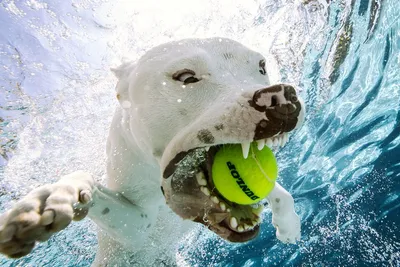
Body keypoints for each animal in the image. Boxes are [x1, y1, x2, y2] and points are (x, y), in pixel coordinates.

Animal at [0, 37, 304, 266]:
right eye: (186, 77)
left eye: (262, 66)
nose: (279, 96)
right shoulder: (137, 229)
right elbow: (86, 184)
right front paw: (55, 198)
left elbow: (277, 190)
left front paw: (288, 223)